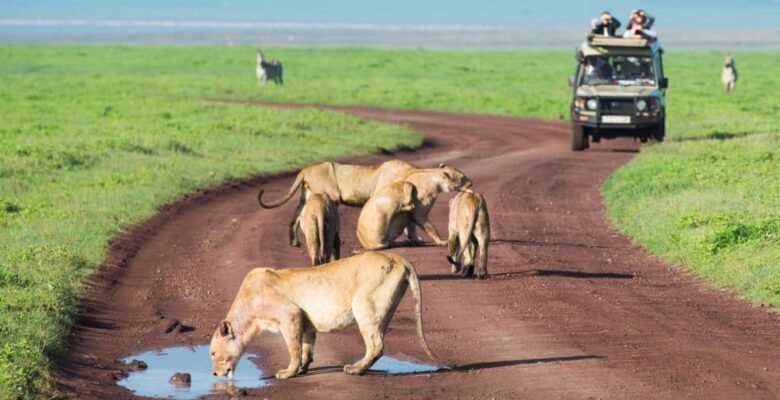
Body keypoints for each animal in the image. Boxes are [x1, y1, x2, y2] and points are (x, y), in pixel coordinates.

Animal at [210, 252, 444, 380]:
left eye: (212, 353)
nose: (213, 374)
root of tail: (400, 258)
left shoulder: (289, 315)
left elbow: (293, 348)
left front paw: (288, 372)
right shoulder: (304, 321)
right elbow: (305, 348)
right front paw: (302, 369)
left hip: (364, 304)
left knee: (376, 345)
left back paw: (355, 369)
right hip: (384, 310)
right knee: (378, 341)